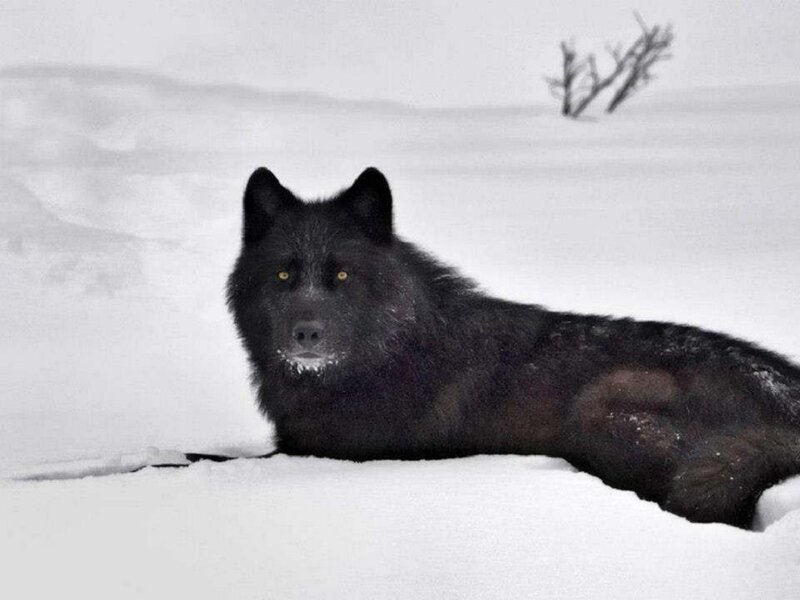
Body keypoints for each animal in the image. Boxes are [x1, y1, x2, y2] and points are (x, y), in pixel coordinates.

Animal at [227, 167, 800, 527]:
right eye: (284, 274)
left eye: (342, 275)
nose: (306, 334)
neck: (387, 353)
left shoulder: (325, 453)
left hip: (603, 407)